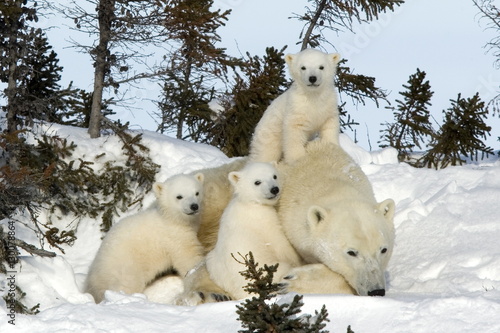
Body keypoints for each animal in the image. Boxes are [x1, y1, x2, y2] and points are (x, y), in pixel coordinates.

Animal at [85, 172, 206, 302]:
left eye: (197, 193)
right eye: (179, 196)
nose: (194, 206)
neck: (171, 219)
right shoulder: (175, 237)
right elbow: (188, 258)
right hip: (126, 266)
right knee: (127, 284)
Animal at [206, 162, 302, 300]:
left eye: (274, 176)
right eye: (257, 182)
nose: (274, 189)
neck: (250, 203)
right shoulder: (263, 221)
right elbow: (281, 244)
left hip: (214, 265)